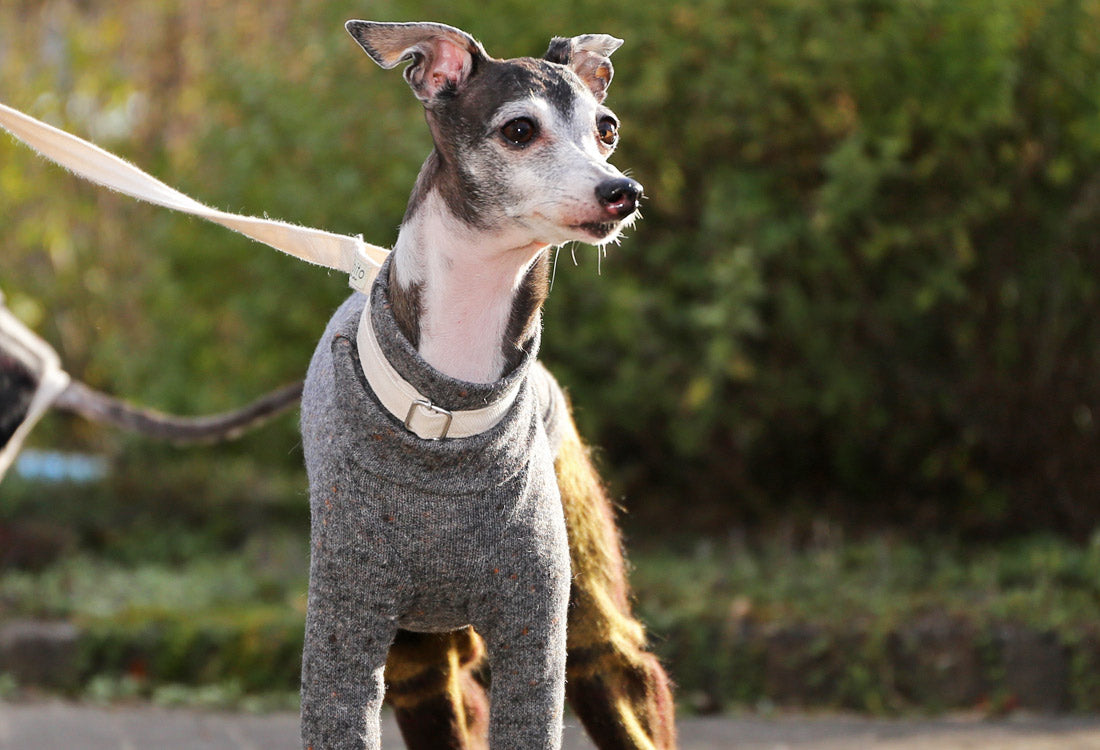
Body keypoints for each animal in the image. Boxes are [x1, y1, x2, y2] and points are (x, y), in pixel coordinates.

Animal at [297, 20, 673, 743]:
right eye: (519, 129)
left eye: (607, 127)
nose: (623, 192)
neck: (445, 409)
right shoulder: (350, 632)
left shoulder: (535, 625)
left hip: (585, 603)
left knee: (619, 670)